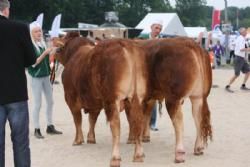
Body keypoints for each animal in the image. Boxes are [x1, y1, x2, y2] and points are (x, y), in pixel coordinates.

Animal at [55, 32, 148, 166]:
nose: (55, 52)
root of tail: (123, 43)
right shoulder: (95, 102)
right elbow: (92, 119)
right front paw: (91, 138)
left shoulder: (71, 98)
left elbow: (77, 120)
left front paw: (78, 140)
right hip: (135, 98)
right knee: (137, 122)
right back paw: (138, 155)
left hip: (111, 99)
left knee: (115, 124)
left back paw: (115, 158)